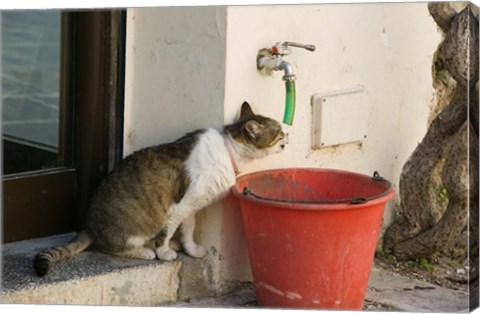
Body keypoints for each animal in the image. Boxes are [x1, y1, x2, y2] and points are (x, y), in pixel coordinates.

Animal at [34, 102, 288, 276]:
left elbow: (188, 229)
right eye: (279, 132)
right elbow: (167, 231)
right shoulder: (179, 207)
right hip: (130, 230)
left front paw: (191, 249)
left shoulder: (191, 206)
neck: (228, 152)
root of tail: (88, 226)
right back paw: (145, 251)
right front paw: (164, 253)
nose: (289, 131)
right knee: (112, 246)